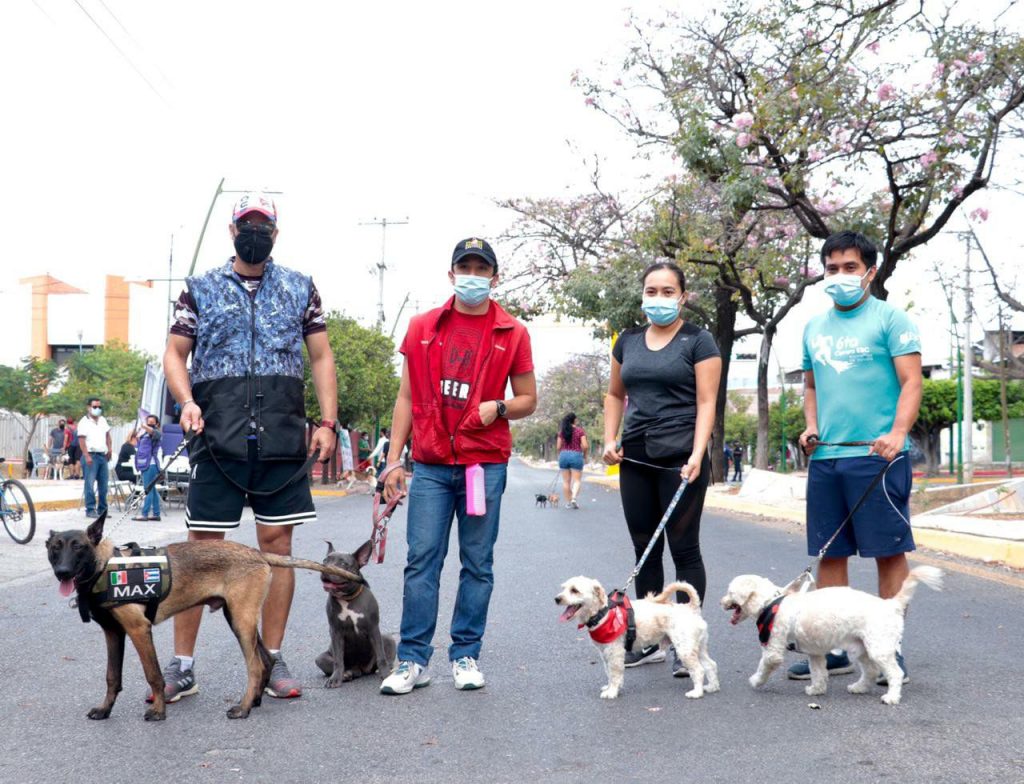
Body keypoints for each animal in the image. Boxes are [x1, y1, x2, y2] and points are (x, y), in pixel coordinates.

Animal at [313, 540, 393, 687]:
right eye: (325, 560)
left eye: (344, 564)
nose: (325, 568)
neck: (347, 598)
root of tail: (361, 669)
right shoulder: (336, 632)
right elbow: (338, 660)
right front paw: (335, 679)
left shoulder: (373, 628)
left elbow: (381, 655)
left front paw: (385, 675)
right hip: (320, 658)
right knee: (340, 665)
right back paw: (346, 674)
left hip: (388, 639)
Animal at [557, 577, 716, 700]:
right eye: (563, 588)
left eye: (574, 590)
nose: (557, 599)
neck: (603, 613)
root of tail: (690, 608)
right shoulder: (605, 653)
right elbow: (609, 673)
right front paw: (610, 687)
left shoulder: (615, 652)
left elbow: (614, 673)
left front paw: (612, 692)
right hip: (699, 647)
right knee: (711, 665)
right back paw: (712, 687)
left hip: (685, 649)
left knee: (699, 670)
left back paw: (697, 692)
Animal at [720, 564, 942, 704]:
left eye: (730, 592)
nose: (721, 602)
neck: (770, 602)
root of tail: (891, 604)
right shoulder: (815, 653)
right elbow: (819, 673)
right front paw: (816, 690)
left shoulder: (773, 649)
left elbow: (764, 666)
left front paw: (756, 680)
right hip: (861, 648)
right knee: (870, 671)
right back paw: (859, 687)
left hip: (879, 648)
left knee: (895, 673)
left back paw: (892, 697)